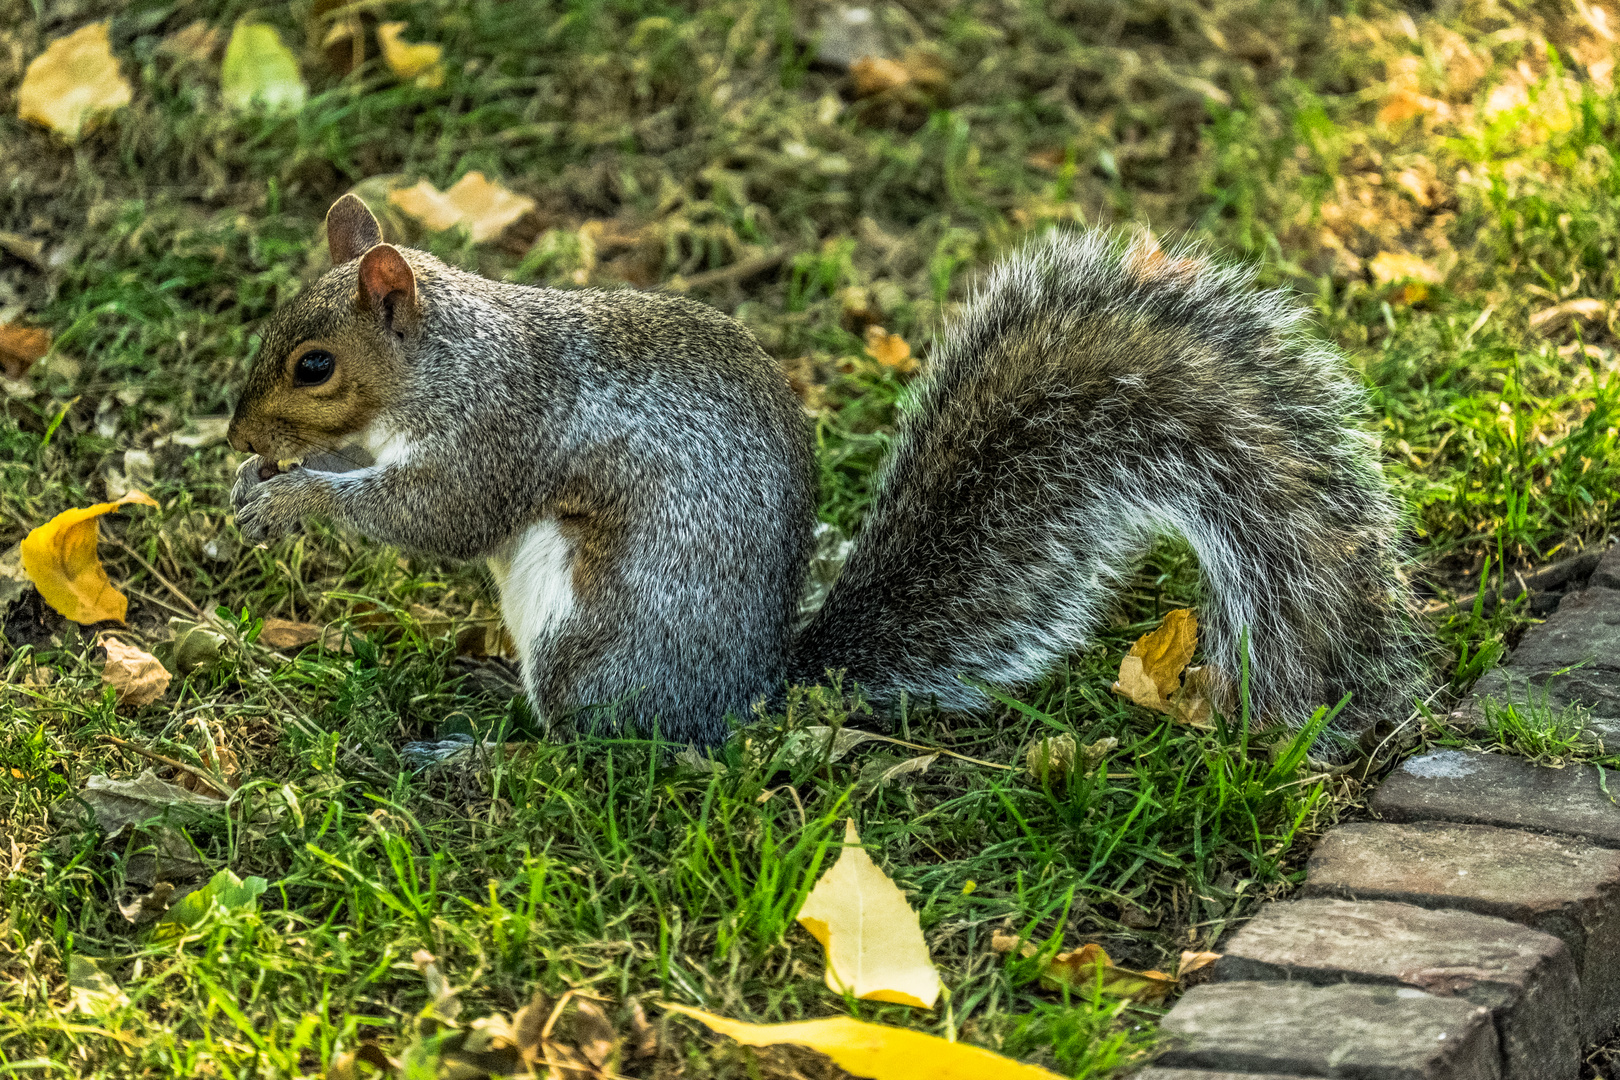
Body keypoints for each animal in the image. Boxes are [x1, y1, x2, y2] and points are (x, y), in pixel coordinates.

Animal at [225, 191, 1419, 751]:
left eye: (314, 363)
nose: (239, 435)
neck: (448, 360)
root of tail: (750, 692)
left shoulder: (501, 432)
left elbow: (439, 517)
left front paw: (293, 499)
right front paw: (265, 483)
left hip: (592, 645)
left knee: (603, 746)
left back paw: (476, 748)